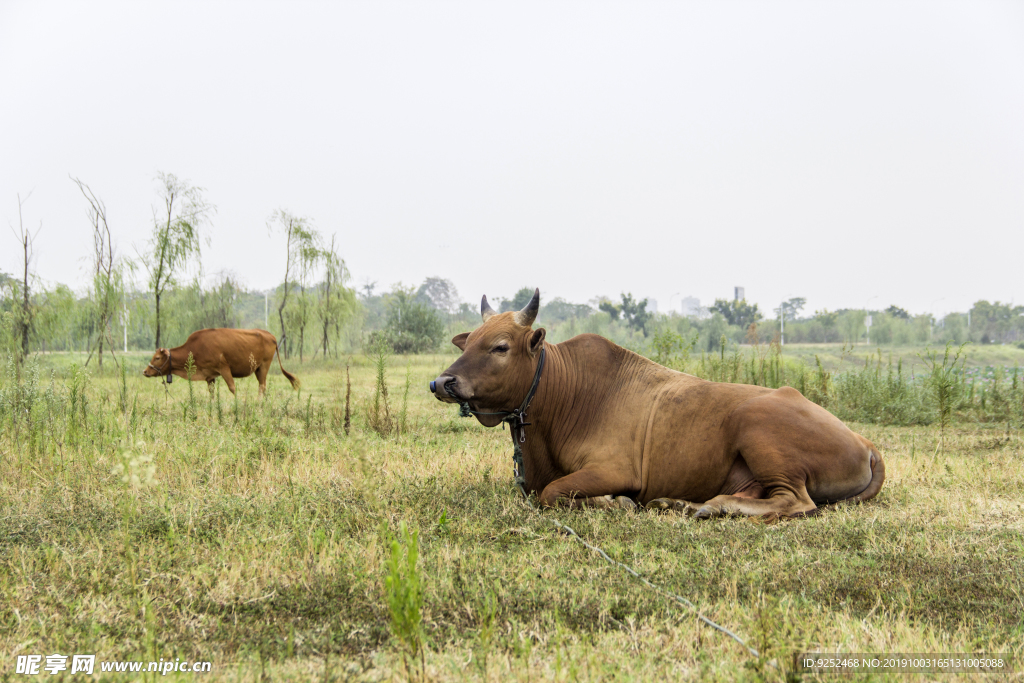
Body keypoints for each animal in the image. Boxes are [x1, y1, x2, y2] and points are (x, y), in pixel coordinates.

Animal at [142, 329, 299, 397]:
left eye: (157, 358)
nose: (145, 371)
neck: (196, 349)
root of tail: (271, 336)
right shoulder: (209, 375)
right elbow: (211, 393)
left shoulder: (224, 368)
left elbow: (233, 388)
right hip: (259, 369)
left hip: (263, 367)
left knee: (262, 387)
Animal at [428, 288, 884, 518]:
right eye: (468, 342)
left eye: (500, 346)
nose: (442, 382)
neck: (567, 393)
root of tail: (865, 443)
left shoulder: (612, 470)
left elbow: (553, 493)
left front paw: (614, 502)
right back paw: (685, 503)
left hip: (757, 427)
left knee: (797, 503)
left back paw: (713, 508)